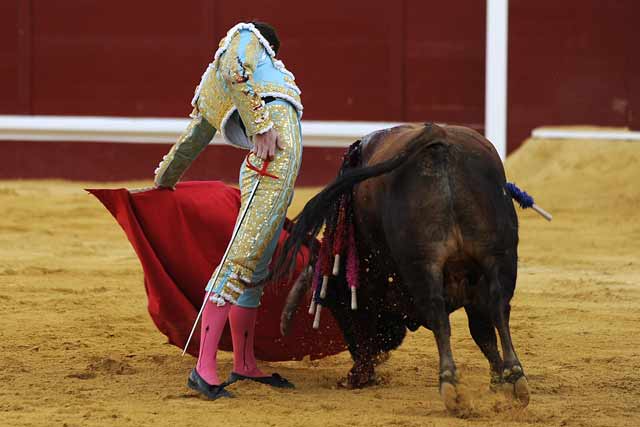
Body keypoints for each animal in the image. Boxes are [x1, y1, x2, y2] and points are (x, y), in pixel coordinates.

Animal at [276, 123, 528, 414]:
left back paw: (450, 385)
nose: (383, 348)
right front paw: (499, 382)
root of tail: (437, 135)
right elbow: (482, 331)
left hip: (422, 261)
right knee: (499, 307)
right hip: (499, 254)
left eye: (336, 303)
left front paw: (357, 374)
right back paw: (515, 378)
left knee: (438, 313)